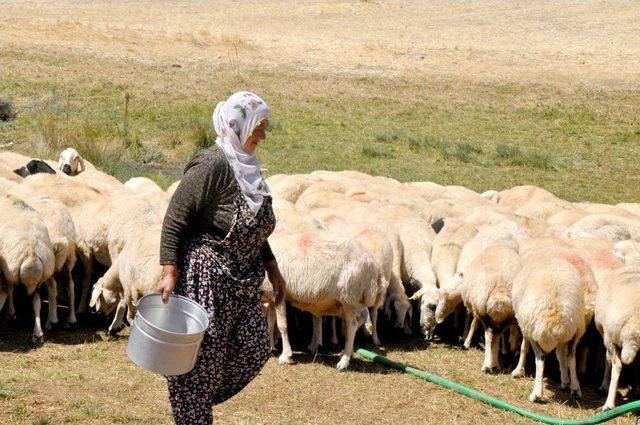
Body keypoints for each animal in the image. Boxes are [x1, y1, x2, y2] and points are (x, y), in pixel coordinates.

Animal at [0, 192, 55, 342]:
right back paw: (38, 333)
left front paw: (11, 313)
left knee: (9, 290)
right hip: (38, 277)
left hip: (12, 269)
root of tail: (31, 253)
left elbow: (8, 290)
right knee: (36, 301)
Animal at [508, 245, 596, 400]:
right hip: (576, 329)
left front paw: (518, 370)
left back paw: (537, 393)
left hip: (536, 330)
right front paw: (565, 380)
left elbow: (524, 347)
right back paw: (575, 388)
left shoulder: (525, 325)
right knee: (570, 356)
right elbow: (561, 355)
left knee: (540, 359)